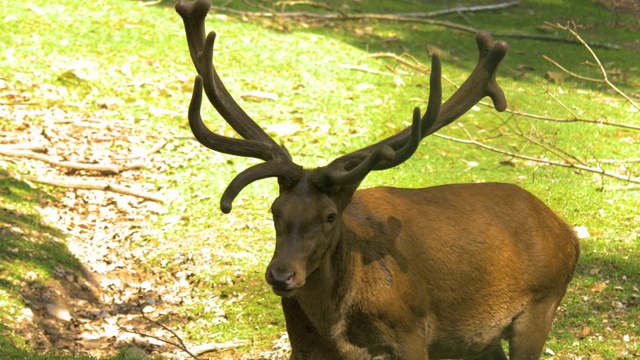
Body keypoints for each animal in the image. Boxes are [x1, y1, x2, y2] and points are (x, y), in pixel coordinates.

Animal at [175, 1, 580, 358]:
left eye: (330, 215)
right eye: (275, 210)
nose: (281, 275)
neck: (337, 331)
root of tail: (568, 233)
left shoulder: (410, 336)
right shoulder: (302, 347)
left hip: (540, 306)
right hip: (479, 341)